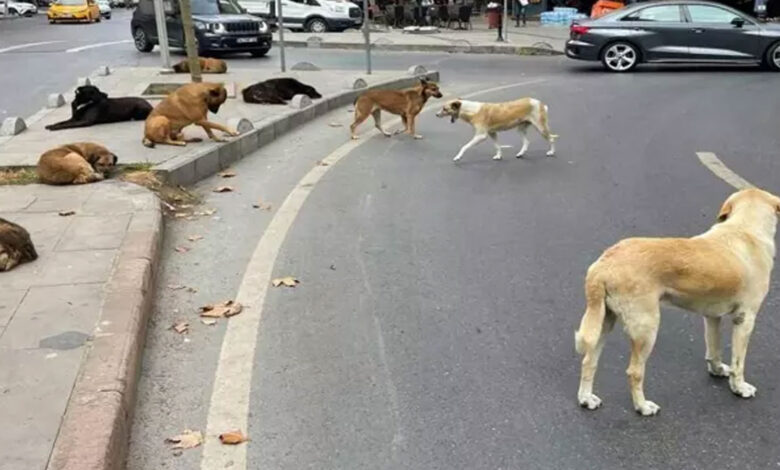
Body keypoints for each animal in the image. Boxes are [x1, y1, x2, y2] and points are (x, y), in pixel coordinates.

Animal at [572, 189, 780, 416]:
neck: (744, 228)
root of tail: (603, 264)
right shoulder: (745, 319)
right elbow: (738, 362)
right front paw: (739, 388)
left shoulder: (711, 317)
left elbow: (714, 349)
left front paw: (717, 370)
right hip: (646, 329)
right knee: (634, 372)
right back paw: (643, 406)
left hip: (603, 322)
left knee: (588, 361)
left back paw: (586, 399)